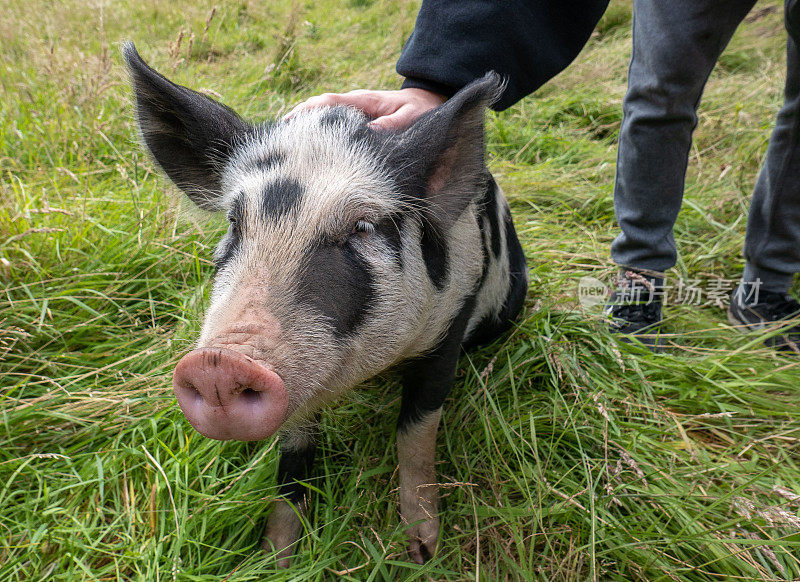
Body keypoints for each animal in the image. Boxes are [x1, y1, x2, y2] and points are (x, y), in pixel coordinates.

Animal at [122, 42, 528, 572]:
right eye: (234, 221)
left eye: (362, 227)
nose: (219, 363)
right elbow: (294, 454)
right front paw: (276, 558)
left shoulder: (450, 324)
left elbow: (416, 433)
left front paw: (422, 551)